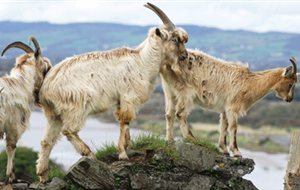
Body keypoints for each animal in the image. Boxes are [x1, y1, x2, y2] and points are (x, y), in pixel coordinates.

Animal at [36, 2, 189, 183]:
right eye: (174, 39)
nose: (185, 56)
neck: (142, 62)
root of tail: (46, 87)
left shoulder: (120, 100)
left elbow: (124, 122)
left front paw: (128, 147)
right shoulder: (128, 96)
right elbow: (125, 120)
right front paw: (122, 153)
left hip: (52, 114)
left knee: (46, 141)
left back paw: (43, 175)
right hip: (77, 105)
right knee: (69, 130)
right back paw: (90, 155)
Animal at [161, 49, 296, 157]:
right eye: (290, 84)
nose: (289, 99)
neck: (249, 82)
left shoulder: (224, 108)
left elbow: (223, 126)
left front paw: (224, 149)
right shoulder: (232, 107)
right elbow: (233, 127)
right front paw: (236, 152)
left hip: (169, 91)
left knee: (169, 114)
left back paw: (169, 141)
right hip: (186, 92)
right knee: (180, 113)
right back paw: (191, 138)